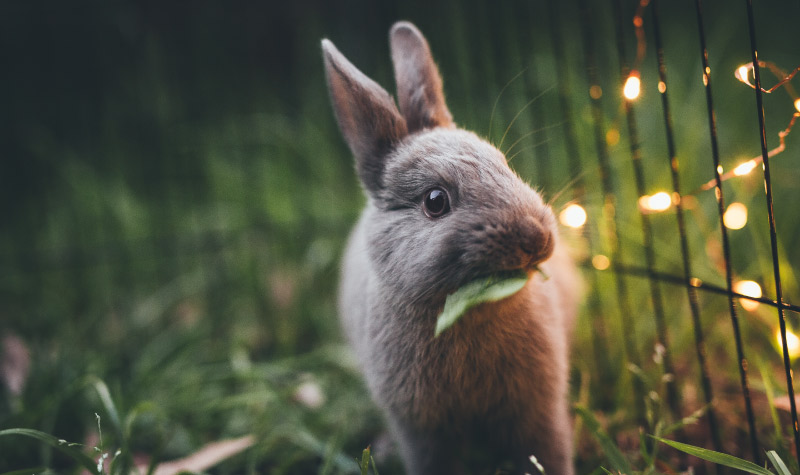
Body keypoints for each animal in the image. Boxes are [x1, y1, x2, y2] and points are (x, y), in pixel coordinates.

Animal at [322, 20, 580, 474]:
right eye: (435, 201)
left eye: (504, 164)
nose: (537, 238)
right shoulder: (422, 430)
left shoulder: (539, 410)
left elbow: (548, 450)